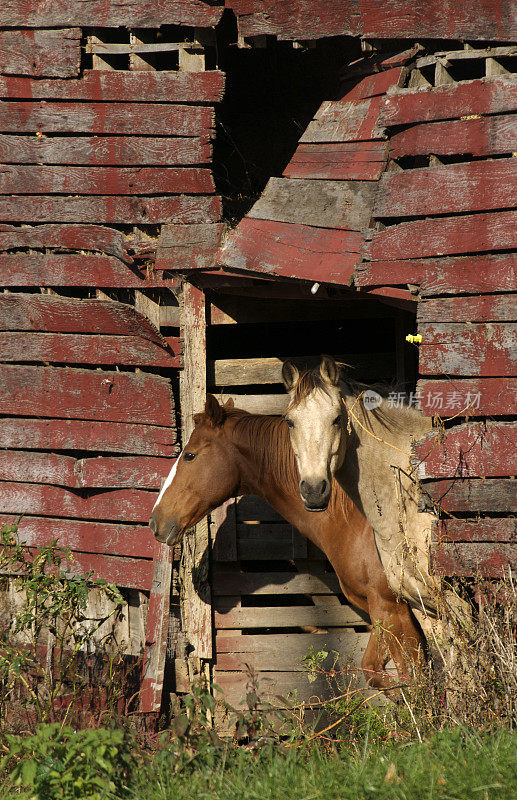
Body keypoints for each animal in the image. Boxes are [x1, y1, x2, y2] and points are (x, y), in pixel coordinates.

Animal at [149, 394, 424, 692]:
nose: (155, 520)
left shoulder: (392, 608)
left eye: (190, 455)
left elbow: (416, 681)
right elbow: (375, 672)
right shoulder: (381, 611)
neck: (356, 517)